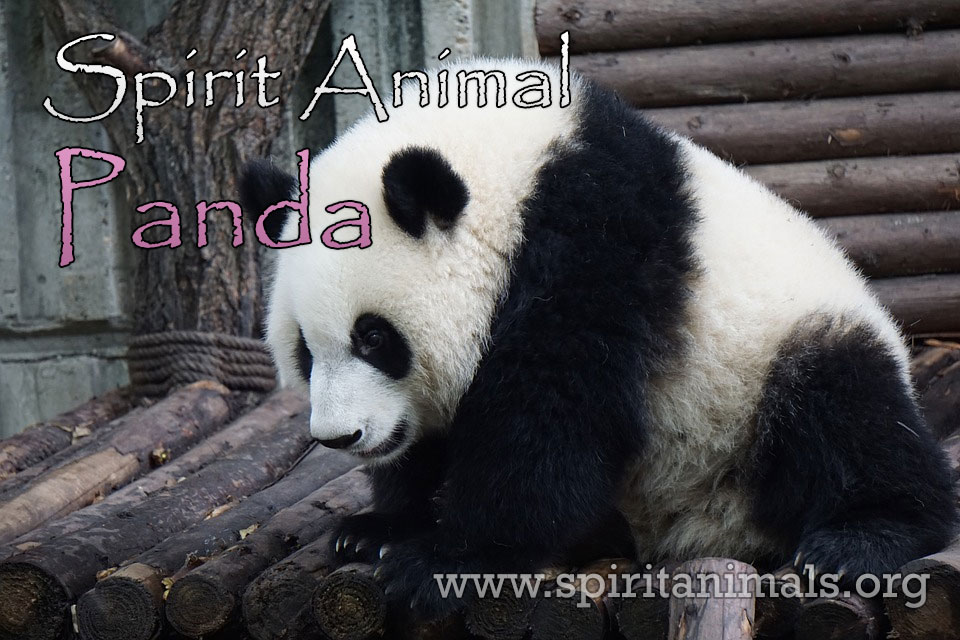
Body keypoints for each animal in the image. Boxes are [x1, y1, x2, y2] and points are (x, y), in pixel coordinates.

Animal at [240, 58, 958, 616]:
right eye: (304, 349)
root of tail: (707, 531)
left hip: (775, 366)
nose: (342, 437)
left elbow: (551, 420)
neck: (514, 173)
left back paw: (859, 537)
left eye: (374, 337)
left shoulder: (593, 249)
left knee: (845, 410)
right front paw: (377, 529)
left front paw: (441, 562)